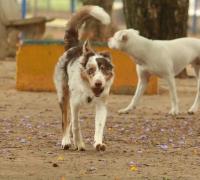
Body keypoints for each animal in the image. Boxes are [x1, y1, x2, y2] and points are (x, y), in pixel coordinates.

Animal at [54, 5, 114, 151]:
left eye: (104, 69)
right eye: (90, 70)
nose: (98, 83)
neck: (89, 91)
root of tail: (74, 47)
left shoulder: (101, 104)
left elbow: (99, 126)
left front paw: (98, 143)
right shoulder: (74, 103)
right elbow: (75, 125)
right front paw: (79, 143)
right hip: (63, 95)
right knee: (65, 120)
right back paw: (66, 141)